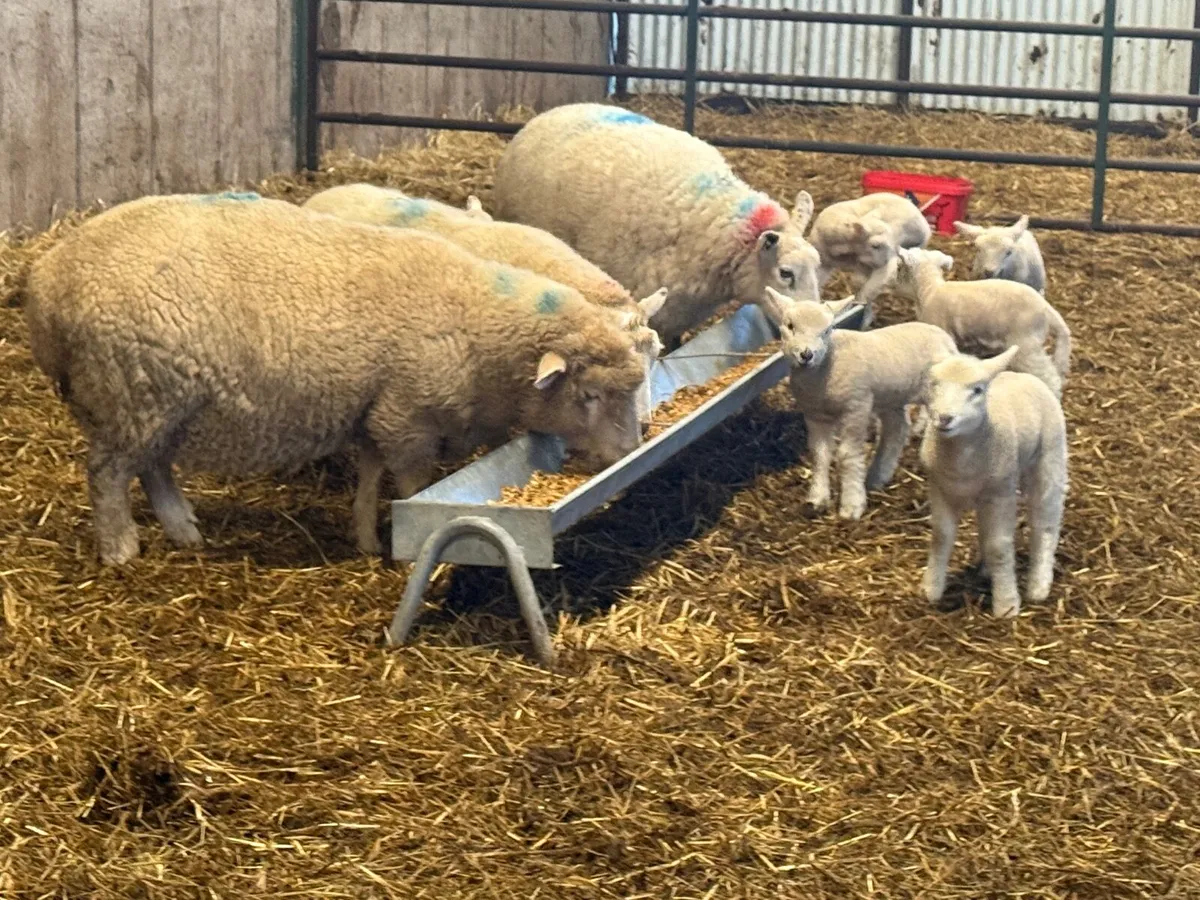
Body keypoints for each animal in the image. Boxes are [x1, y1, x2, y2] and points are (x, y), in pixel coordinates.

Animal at [758, 288, 957, 520]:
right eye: (790, 326)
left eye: (827, 330)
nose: (806, 355)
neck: (825, 368)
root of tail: (946, 339)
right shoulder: (815, 414)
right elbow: (819, 454)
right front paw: (817, 499)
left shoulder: (856, 407)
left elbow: (847, 454)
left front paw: (851, 505)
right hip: (891, 396)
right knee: (897, 430)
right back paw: (877, 476)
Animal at [895, 247, 1070, 399]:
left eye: (900, 268)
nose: (892, 281)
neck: (929, 290)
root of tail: (1046, 309)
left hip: (1026, 344)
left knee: (1050, 376)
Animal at [918, 346, 1067, 618]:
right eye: (934, 384)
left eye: (977, 390)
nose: (944, 418)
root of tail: (1020, 375)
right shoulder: (940, 487)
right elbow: (941, 536)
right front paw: (931, 588)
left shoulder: (1000, 492)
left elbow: (999, 545)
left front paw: (1006, 605)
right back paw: (988, 570)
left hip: (1050, 456)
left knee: (1045, 521)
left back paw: (1039, 584)